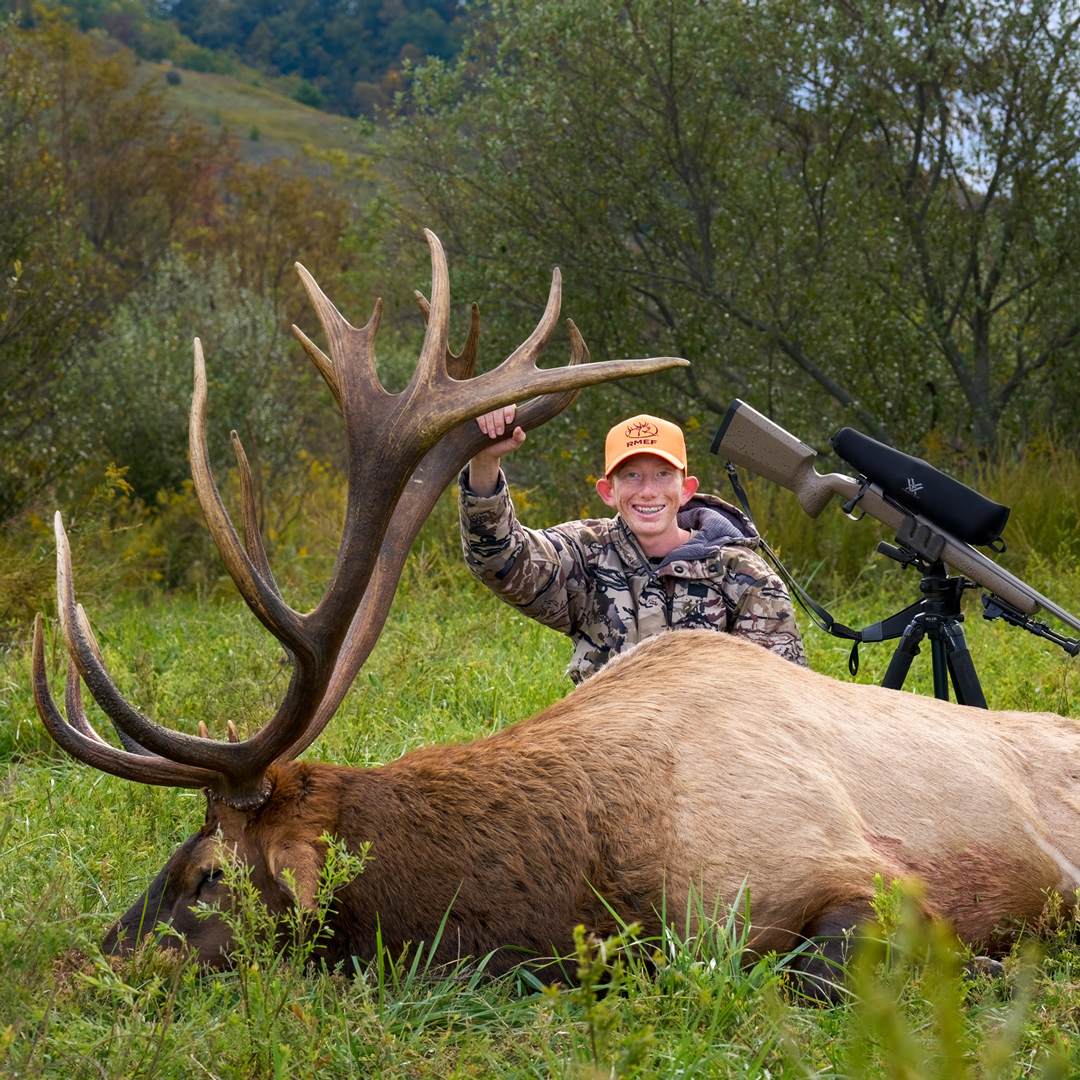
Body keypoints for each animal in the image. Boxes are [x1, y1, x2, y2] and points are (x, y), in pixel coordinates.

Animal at [31, 230, 1080, 1000]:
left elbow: (821, 970)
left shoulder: (853, 877)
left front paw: (994, 968)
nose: (86, 968)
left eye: (208, 872)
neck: (575, 878)